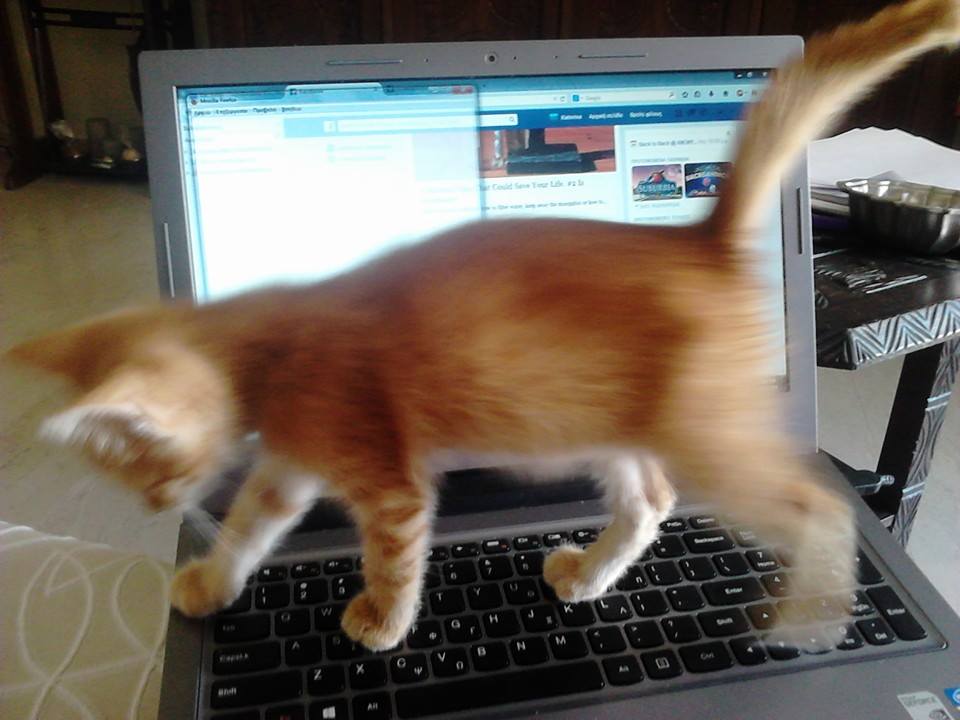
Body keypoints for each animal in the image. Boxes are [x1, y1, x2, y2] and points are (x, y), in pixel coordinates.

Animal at [7, 0, 960, 651]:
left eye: (143, 465)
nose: (158, 504)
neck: (264, 344)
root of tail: (699, 242)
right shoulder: (286, 466)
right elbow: (250, 525)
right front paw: (211, 581)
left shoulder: (387, 480)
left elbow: (393, 554)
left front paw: (382, 621)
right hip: (613, 419)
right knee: (651, 501)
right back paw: (588, 572)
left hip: (710, 438)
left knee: (818, 509)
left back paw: (812, 616)